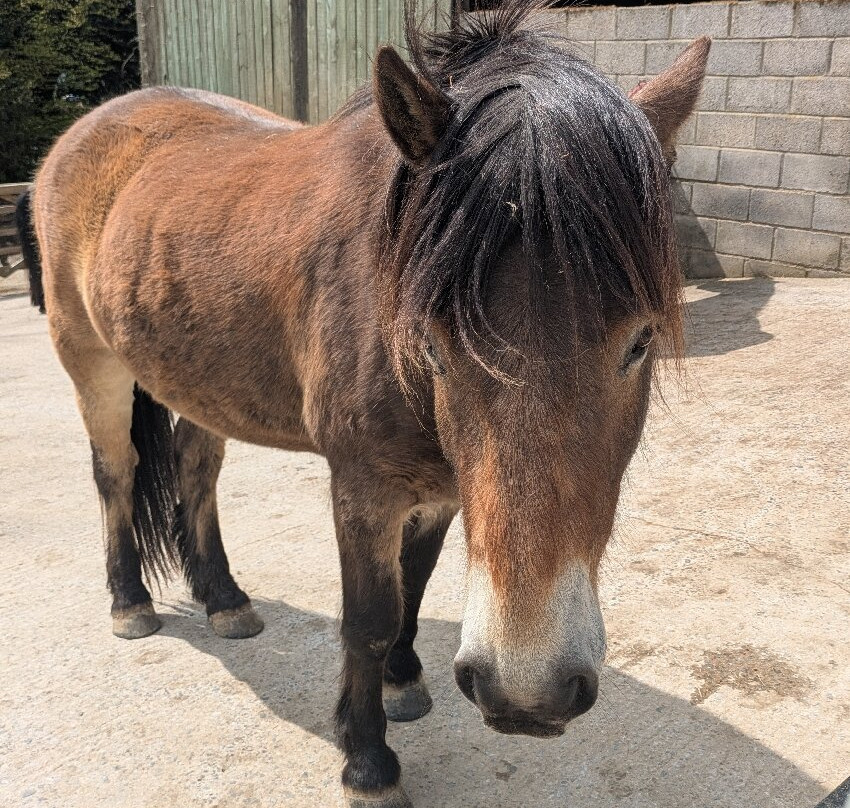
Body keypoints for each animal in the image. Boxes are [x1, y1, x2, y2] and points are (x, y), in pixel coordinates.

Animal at [20, 3, 709, 805]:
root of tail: (85, 130)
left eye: (640, 341)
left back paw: (224, 599)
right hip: (92, 363)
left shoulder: (442, 490)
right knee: (117, 474)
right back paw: (129, 602)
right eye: (433, 340)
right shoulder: (363, 486)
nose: (527, 693)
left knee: (196, 472)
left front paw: (403, 682)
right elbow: (370, 617)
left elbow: (414, 586)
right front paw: (368, 760)